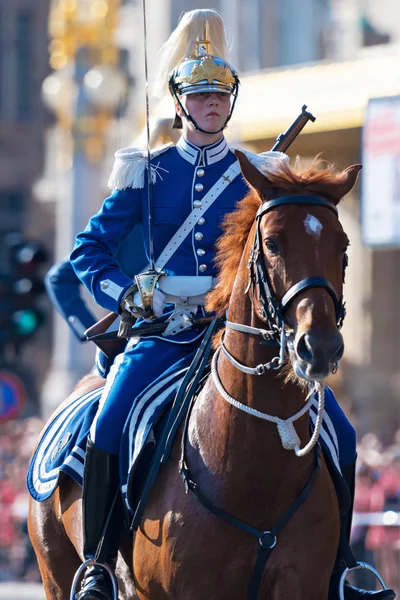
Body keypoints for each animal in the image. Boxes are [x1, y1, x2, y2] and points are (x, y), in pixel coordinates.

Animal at [27, 152, 360, 596]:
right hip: (55, 573)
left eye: (343, 246)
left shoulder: (301, 586)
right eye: (272, 243)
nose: (319, 347)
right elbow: (88, 246)